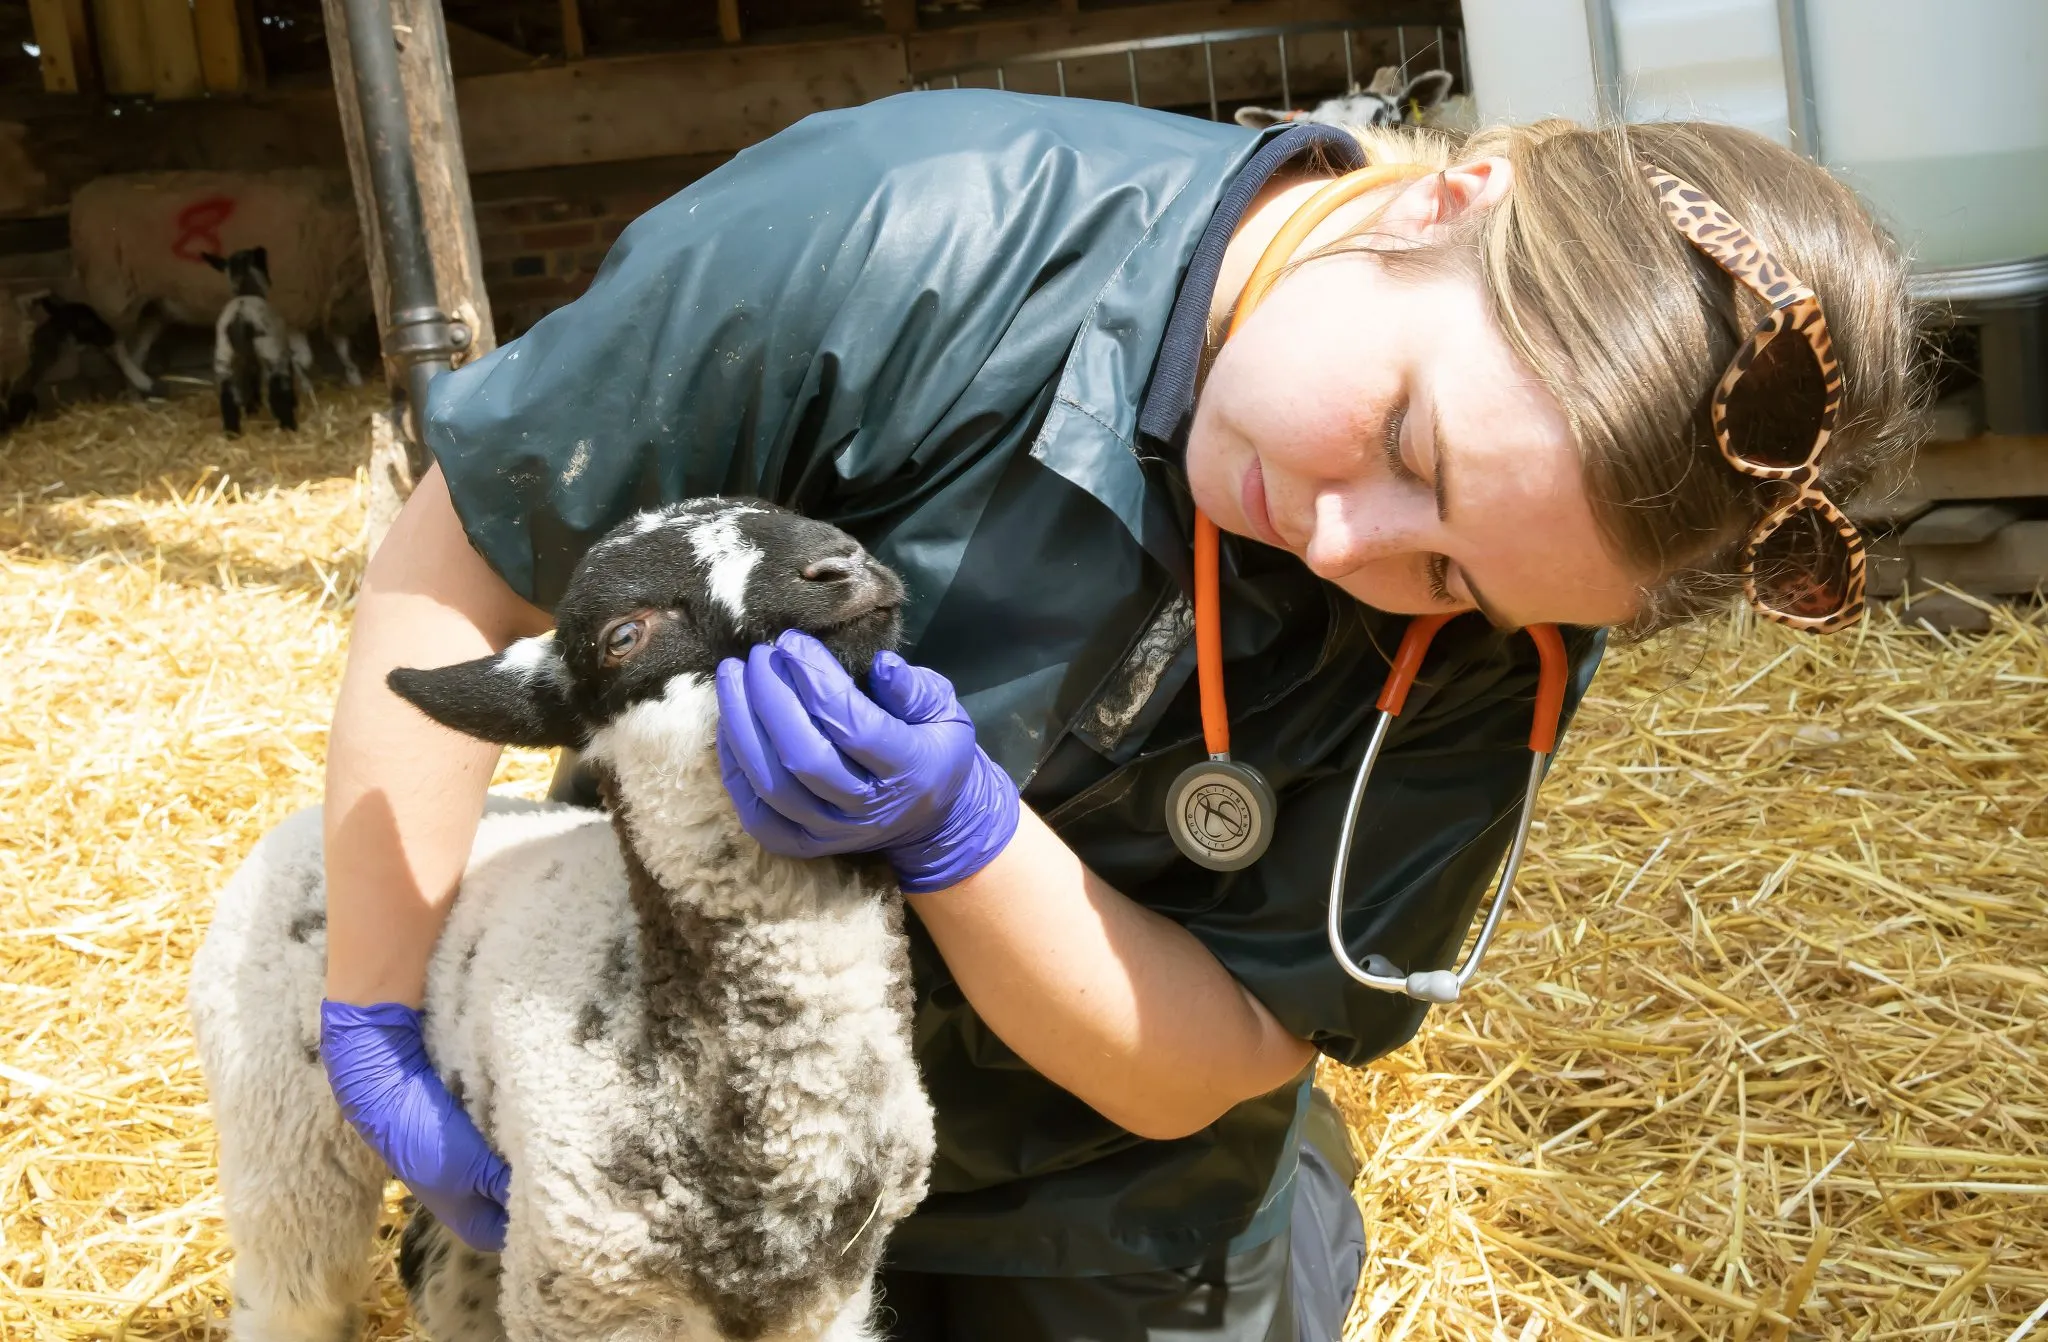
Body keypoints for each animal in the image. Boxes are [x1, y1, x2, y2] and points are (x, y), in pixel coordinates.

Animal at [189, 498, 936, 1342]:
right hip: (281, 1125)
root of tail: (299, 825)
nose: (842, 566)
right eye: (624, 637)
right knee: (292, 1288)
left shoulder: (830, 1296)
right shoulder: (582, 1290)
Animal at [205, 248, 305, 435]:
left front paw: (253, 407)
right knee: (278, 390)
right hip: (271, 351)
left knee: (228, 396)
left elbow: (252, 379)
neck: (246, 290)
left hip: (223, 356)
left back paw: (232, 432)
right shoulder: (281, 352)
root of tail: (240, 316)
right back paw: (289, 426)